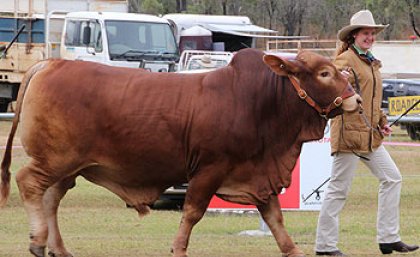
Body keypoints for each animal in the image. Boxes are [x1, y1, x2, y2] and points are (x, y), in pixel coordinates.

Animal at [0, 47, 360, 254]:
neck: (257, 101)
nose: (356, 99)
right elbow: (192, 214)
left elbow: (276, 221)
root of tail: (51, 64)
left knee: (50, 198)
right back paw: (37, 240)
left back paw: (57, 248)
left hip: (68, 167)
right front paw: (178, 248)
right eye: (325, 73)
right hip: (54, 159)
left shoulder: (258, 177)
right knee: (28, 183)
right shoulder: (209, 170)